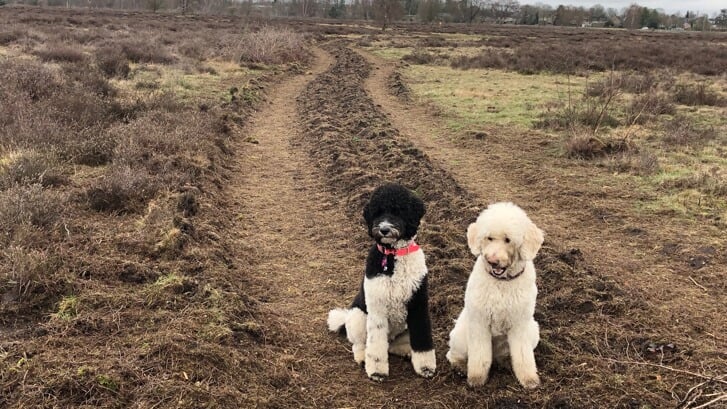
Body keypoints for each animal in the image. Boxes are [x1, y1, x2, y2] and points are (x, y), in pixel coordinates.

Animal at [328, 183, 436, 380]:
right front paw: (377, 370)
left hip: (404, 326)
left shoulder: (418, 305)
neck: (393, 256)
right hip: (358, 316)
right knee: (361, 344)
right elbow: (376, 346)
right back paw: (363, 357)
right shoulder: (377, 308)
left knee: (393, 346)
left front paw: (425, 367)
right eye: (377, 212)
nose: (384, 229)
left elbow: (423, 339)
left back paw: (406, 351)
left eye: (398, 210)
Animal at [446, 202, 544, 388]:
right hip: (461, 334)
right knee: (453, 354)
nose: (492, 261)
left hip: (533, 331)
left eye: (508, 239)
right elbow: (480, 356)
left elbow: (523, 356)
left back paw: (505, 362)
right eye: (489, 238)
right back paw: (459, 366)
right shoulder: (480, 322)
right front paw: (476, 379)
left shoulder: (520, 324)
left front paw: (529, 379)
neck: (502, 283)